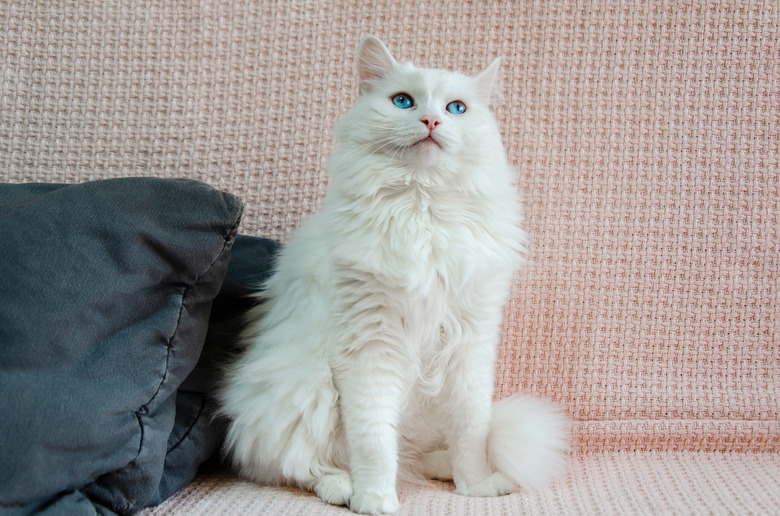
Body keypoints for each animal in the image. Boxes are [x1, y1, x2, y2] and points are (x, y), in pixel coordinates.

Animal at [218, 36, 568, 516]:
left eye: (456, 108)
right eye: (403, 101)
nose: (431, 120)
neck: (425, 207)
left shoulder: (472, 340)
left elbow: (471, 432)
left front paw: (476, 487)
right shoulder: (370, 344)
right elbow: (374, 441)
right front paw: (376, 500)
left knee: (420, 454)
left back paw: (444, 469)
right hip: (302, 392)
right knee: (291, 467)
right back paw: (344, 488)